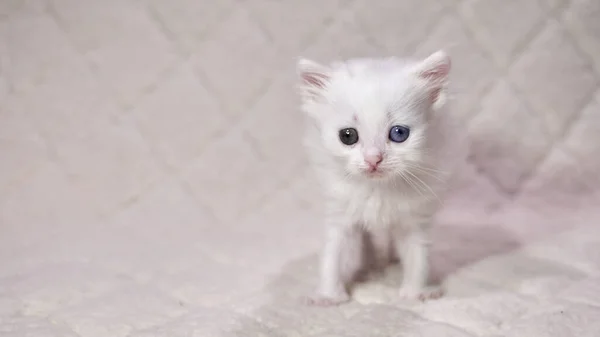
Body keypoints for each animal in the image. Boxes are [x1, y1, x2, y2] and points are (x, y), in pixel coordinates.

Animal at [298, 50, 466, 304]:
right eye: (348, 136)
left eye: (399, 133)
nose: (373, 159)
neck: (379, 190)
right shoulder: (340, 212)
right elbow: (333, 254)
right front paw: (329, 295)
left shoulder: (415, 217)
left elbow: (418, 255)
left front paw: (416, 292)